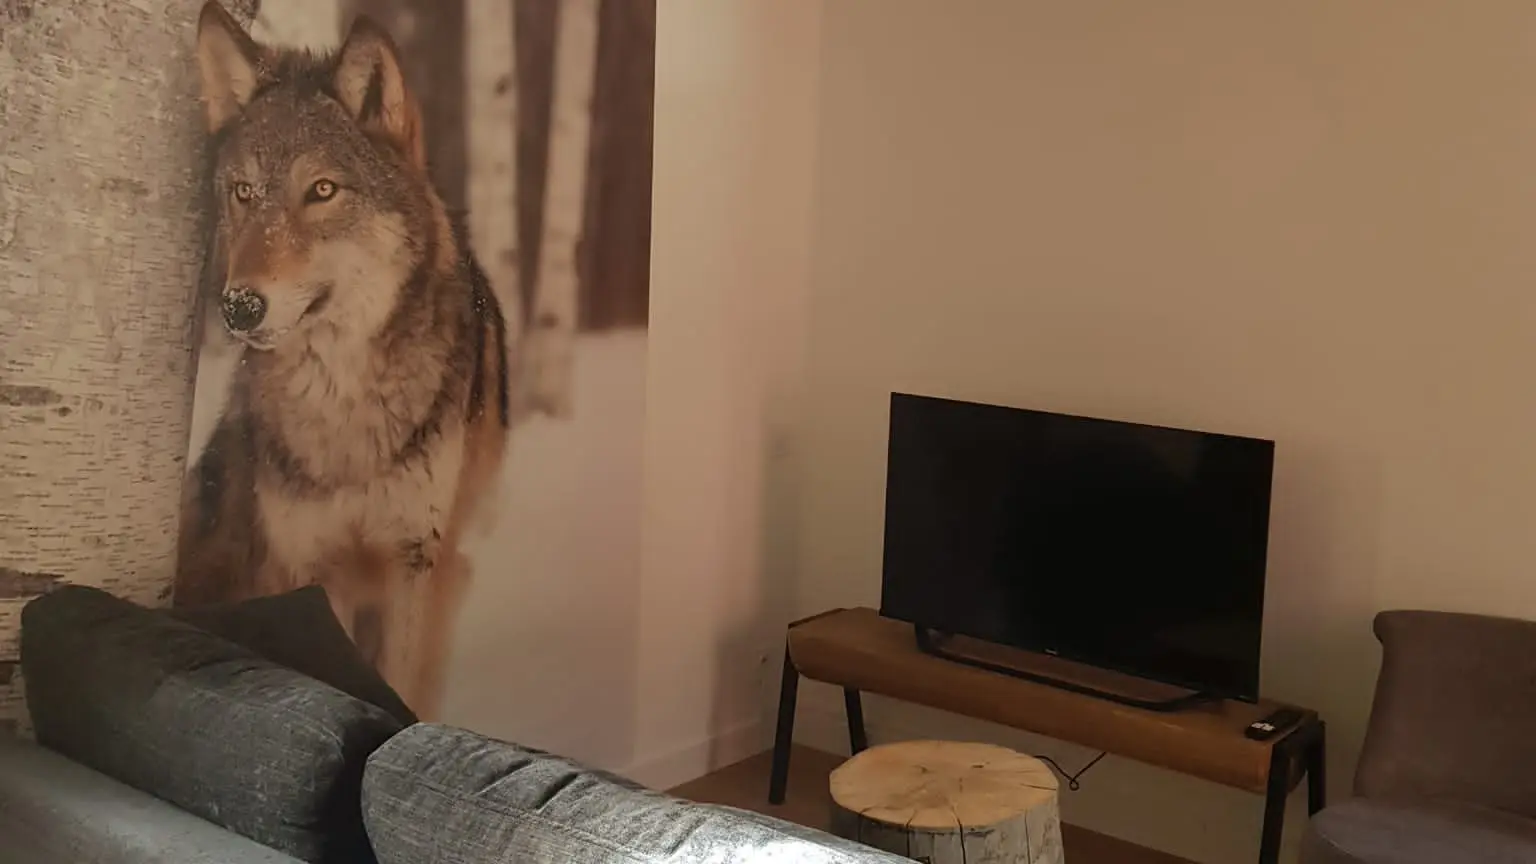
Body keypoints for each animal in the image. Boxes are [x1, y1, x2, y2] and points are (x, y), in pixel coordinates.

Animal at [174, 0, 511, 720]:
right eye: (243, 192)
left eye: (322, 190)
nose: (240, 305)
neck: (342, 404)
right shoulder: (301, 567)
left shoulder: (416, 567)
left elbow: (402, 688)